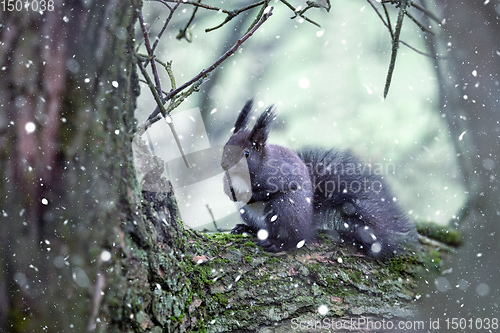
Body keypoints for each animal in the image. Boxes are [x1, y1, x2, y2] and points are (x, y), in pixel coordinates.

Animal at [221, 100, 420, 255]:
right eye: (225, 145)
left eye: (246, 154)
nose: (223, 165)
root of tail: (309, 224)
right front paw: (231, 192)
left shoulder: (278, 175)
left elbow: (270, 190)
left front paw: (250, 194)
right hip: (248, 213)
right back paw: (246, 229)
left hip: (285, 210)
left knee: (294, 238)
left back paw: (277, 243)